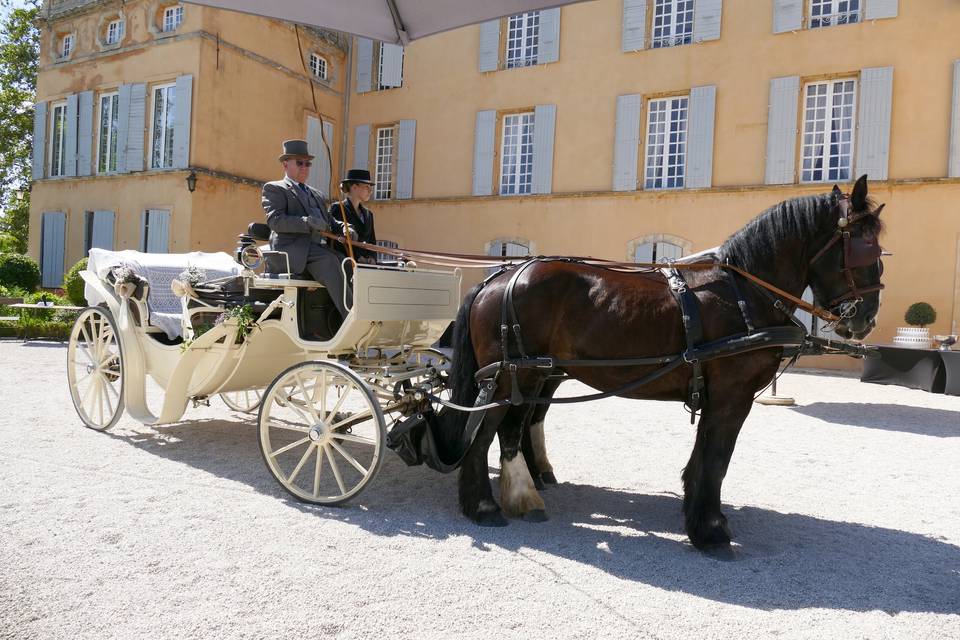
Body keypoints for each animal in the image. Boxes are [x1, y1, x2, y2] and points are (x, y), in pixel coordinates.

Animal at [436, 176, 884, 552]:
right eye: (865, 248)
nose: (866, 319)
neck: (743, 291)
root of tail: (499, 277)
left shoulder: (718, 396)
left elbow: (705, 456)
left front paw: (697, 513)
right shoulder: (733, 395)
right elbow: (717, 458)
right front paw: (710, 529)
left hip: (528, 376)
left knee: (512, 429)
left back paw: (523, 494)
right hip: (507, 378)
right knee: (483, 435)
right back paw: (483, 507)